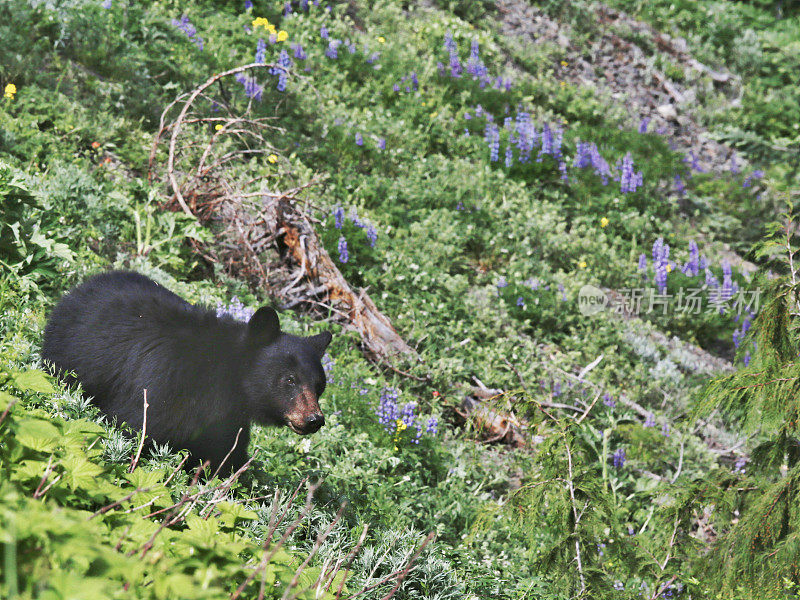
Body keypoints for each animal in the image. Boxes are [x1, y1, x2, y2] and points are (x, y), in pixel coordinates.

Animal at [43, 270, 332, 474]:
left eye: (320, 386)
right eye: (290, 379)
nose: (314, 419)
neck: (228, 379)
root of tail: (85, 284)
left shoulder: (226, 419)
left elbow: (224, 456)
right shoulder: (166, 384)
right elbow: (134, 426)